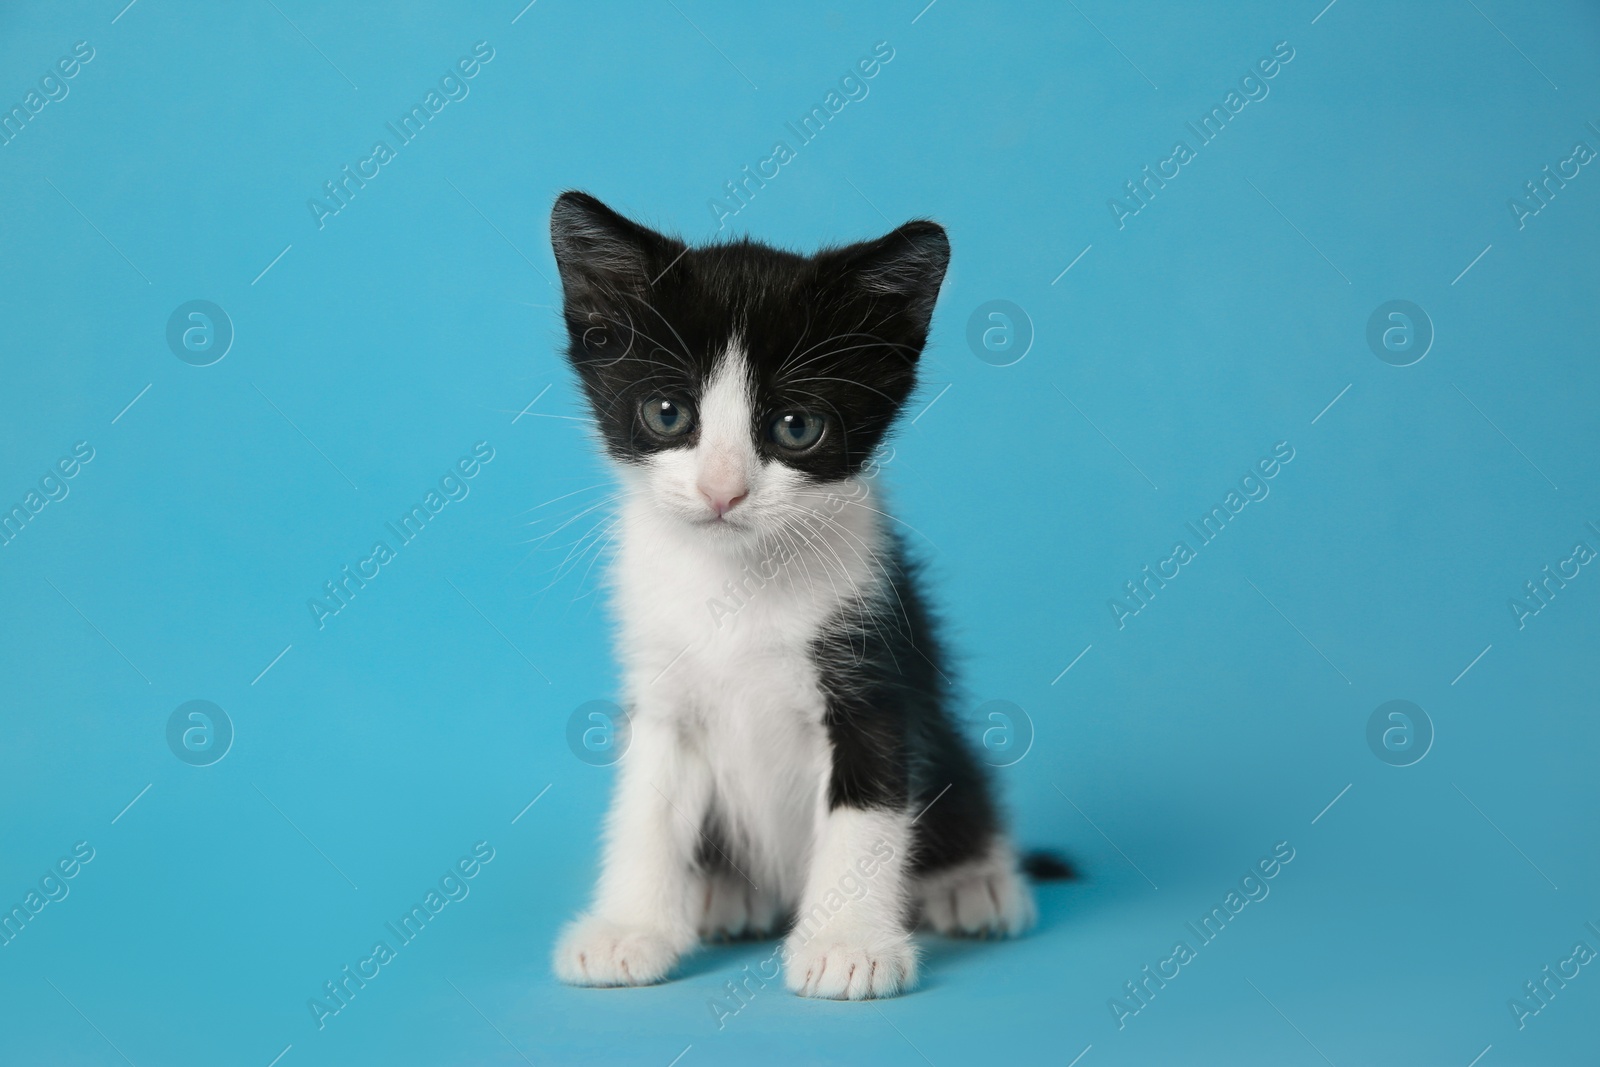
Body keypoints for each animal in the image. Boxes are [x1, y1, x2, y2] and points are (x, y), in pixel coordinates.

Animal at [547, 191, 1062, 1004]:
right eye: (667, 414)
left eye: (796, 426)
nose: (722, 491)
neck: (735, 582)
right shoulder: (661, 688)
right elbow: (646, 808)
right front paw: (628, 927)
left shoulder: (873, 672)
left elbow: (866, 816)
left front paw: (849, 943)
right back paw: (721, 894)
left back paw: (975, 882)